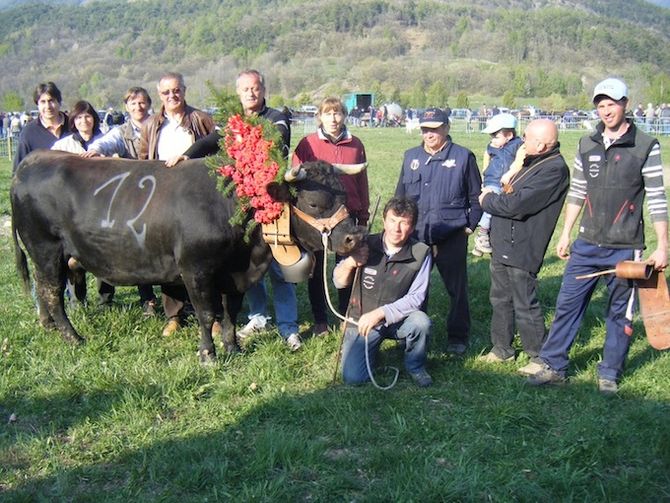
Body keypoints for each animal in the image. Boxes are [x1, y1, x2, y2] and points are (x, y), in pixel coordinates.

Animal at [10, 152, 368, 364]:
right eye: (314, 202)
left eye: (344, 195)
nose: (354, 236)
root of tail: (31, 161)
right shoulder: (195, 269)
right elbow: (207, 314)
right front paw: (208, 354)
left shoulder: (233, 274)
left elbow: (230, 311)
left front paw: (232, 347)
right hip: (46, 250)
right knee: (52, 293)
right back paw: (72, 337)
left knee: (44, 290)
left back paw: (48, 326)